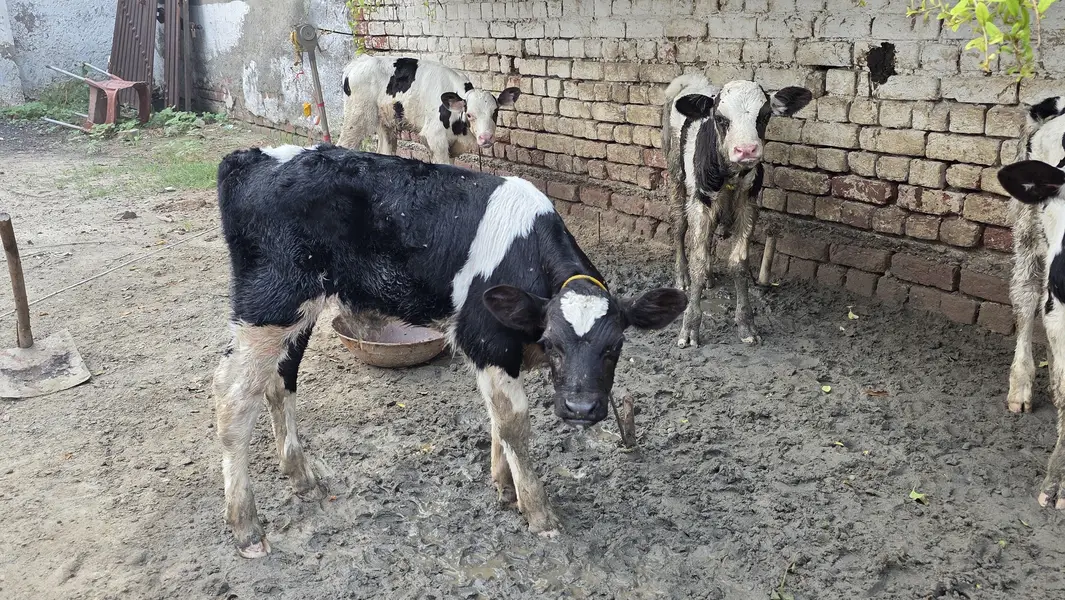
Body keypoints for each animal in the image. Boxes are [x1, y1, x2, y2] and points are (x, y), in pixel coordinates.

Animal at [211, 143, 688, 557]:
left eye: (615, 346)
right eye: (553, 343)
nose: (581, 408)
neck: (527, 257)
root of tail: (248, 157)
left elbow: (498, 420)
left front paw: (504, 486)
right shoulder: (487, 341)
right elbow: (514, 422)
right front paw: (538, 512)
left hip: (299, 308)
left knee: (281, 380)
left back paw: (301, 476)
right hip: (271, 300)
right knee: (233, 396)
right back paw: (246, 526)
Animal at [337, 55, 521, 165]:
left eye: (495, 112)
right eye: (469, 114)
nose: (486, 138)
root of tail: (357, 63)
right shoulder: (434, 138)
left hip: (386, 121)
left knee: (384, 151)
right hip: (356, 118)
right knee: (343, 145)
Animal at [661, 73, 812, 347]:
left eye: (764, 116)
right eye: (721, 119)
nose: (746, 150)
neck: (730, 173)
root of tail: (690, 78)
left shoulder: (748, 203)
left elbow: (739, 263)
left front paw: (746, 324)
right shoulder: (700, 201)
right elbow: (698, 259)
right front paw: (689, 327)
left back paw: (710, 277)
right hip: (675, 173)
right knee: (679, 227)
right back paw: (683, 277)